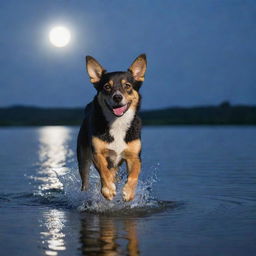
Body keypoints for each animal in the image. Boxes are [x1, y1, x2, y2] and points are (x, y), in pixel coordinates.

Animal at [76, 54, 146, 201]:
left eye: (127, 86)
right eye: (107, 86)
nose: (117, 97)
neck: (118, 122)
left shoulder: (135, 156)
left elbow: (134, 175)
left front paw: (129, 192)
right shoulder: (97, 153)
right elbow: (104, 171)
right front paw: (108, 190)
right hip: (83, 159)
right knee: (85, 181)